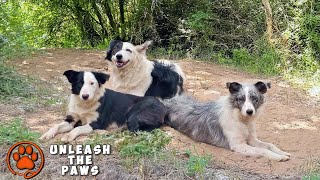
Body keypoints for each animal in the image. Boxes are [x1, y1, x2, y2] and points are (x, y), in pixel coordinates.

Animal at [39, 69, 168, 141]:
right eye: (80, 83)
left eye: (92, 83)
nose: (85, 96)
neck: (84, 104)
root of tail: (163, 106)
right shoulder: (71, 120)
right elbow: (56, 126)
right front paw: (47, 134)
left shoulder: (97, 122)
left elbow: (78, 128)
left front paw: (68, 136)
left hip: (134, 116)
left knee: (140, 130)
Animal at [164, 81, 292, 162]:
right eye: (240, 99)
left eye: (254, 98)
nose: (249, 111)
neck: (242, 120)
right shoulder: (239, 145)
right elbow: (262, 150)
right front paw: (278, 157)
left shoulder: (252, 140)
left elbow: (269, 145)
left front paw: (282, 152)